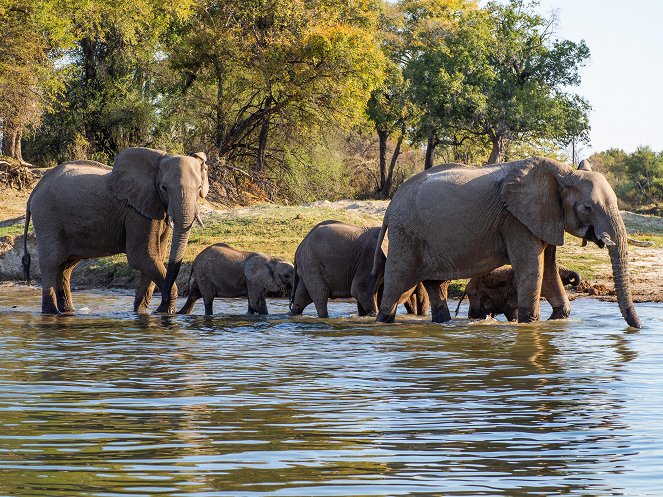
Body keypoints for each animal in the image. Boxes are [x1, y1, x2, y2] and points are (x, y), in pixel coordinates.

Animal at [23, 145, 209, 314]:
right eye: (164, 188)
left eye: (199, 188)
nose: (163, 302)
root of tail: (35, 190)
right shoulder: (136, 211)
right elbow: (142, 257)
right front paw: (164, 312)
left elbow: (156, 257)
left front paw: (143, 312)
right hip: (47, 216)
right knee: (52, 261)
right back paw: (51, 312)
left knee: (66, 265)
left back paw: (68, 310)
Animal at [290, 221, 430, 318]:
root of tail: (299, 248)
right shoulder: (370, 257)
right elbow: (360, 290)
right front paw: (373, 316)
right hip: (311, 262)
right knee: (320, 295)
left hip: (308, 264)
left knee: (302, 297)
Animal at [376, 157, 644, 328]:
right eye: (587, 208)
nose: (639, 328)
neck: (560, 173)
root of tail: (390, 207)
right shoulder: (515, 219)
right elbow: (533, 269)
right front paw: (529, 324)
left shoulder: (543, 217)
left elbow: (549, 269)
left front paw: (559, 319)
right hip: (406, 235)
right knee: (396, 284)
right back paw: (383, 323)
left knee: (436, 284)